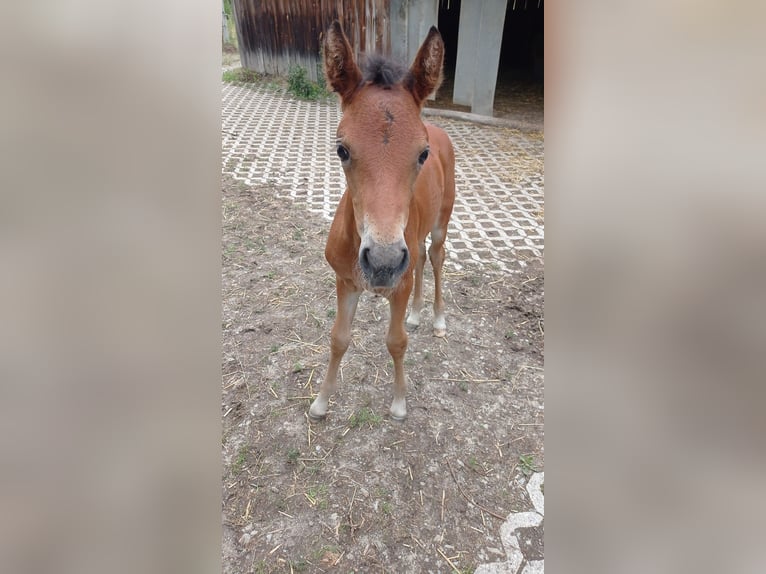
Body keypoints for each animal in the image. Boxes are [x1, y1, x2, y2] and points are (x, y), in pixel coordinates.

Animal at [308, 21, 456, 424]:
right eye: (341, 149)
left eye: (422, 153)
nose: (383, 263)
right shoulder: (346, 281)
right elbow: (338, 338)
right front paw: (321, 402)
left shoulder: (397, 286)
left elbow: (396, 341)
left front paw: (400, 403)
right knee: (419, 259)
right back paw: (418, 315)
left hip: (441, 223)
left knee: (435, 257)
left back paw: (436, 319)